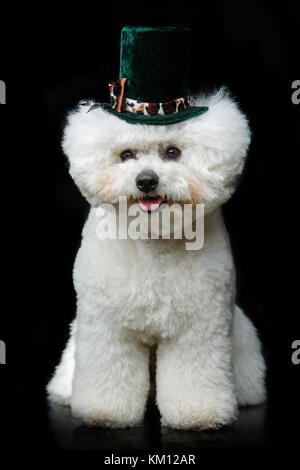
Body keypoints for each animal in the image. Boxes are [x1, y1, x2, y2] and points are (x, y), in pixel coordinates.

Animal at [48, 90, 266, 432]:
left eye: (172, 152)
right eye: (126, 155)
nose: (146, 180)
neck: (153, 238)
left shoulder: (199, 325)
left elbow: (194, 370)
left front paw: (198, 413)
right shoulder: (107, 326)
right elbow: (108, 368)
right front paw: (105, 412)